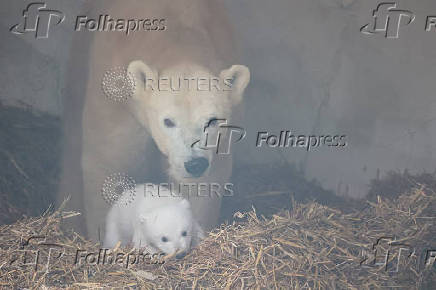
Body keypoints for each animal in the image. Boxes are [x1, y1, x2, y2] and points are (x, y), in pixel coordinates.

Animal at [58, 0, 250, 240]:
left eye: (213, 121)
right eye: (168, 121)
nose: (194, 164)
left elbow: (203, 186)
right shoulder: (115, 97)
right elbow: (110, 163)